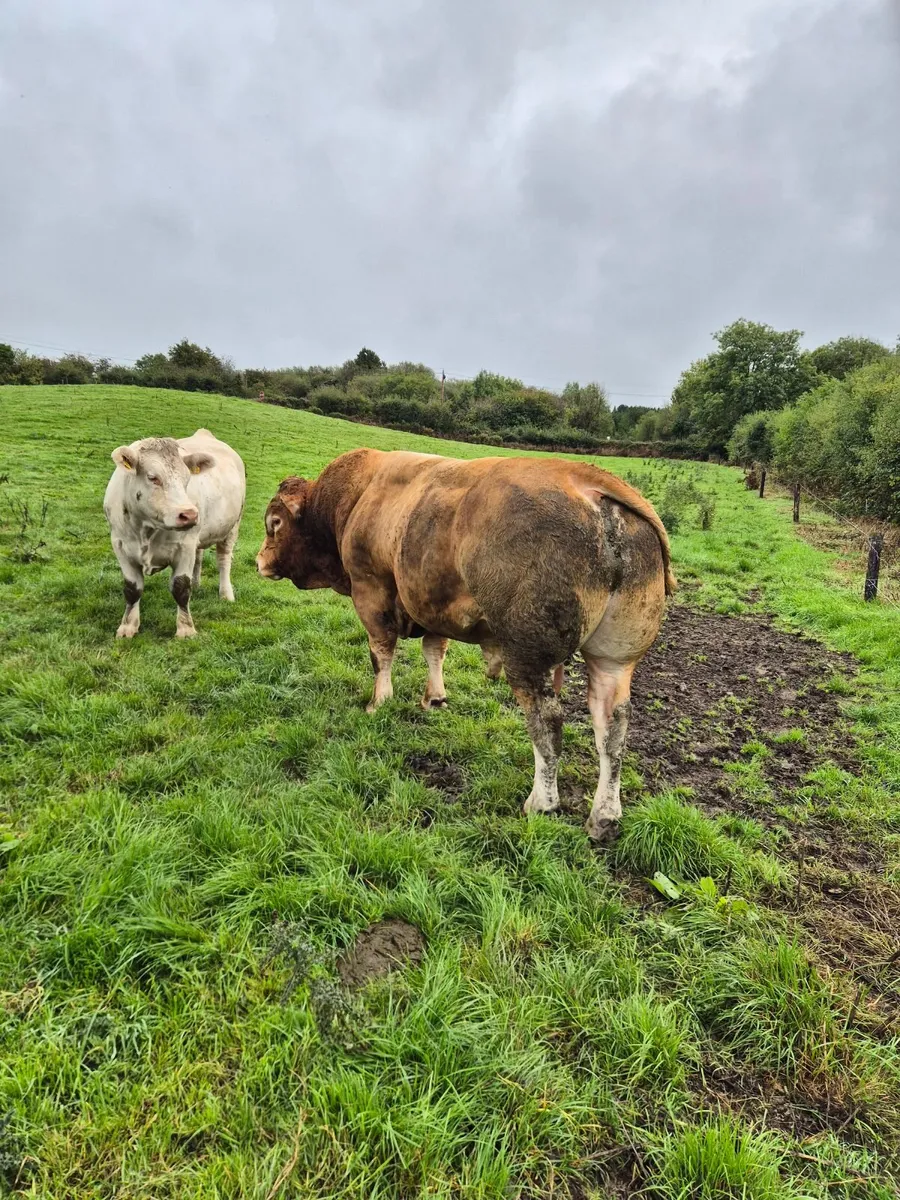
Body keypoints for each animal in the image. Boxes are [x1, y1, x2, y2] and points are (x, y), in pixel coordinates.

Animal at [104, 429, 246, 639]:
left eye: (187, 479)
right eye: (152, 477)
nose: (190, 514)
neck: (146, 529)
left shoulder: (185, 546)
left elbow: (180, 587)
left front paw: (186, 629)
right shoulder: (120, 544)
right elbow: (132, 588)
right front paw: (128, 626)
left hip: (232, 527)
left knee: (223, 560)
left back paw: (226, 593)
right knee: (199, 556)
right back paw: (197, 583)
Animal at [256, 450, 675, 842]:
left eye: (274, 524)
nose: (258, 560)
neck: (357, 496)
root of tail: (589, 485)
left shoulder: (370, 591)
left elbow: (381, 653)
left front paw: (379, 702)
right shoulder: (432, 603)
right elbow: (434, 650)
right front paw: (435, 698)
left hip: (527, 657)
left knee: (548, 723)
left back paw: (541, 803)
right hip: (614, 659)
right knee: (612, 728)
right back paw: (604, 816)